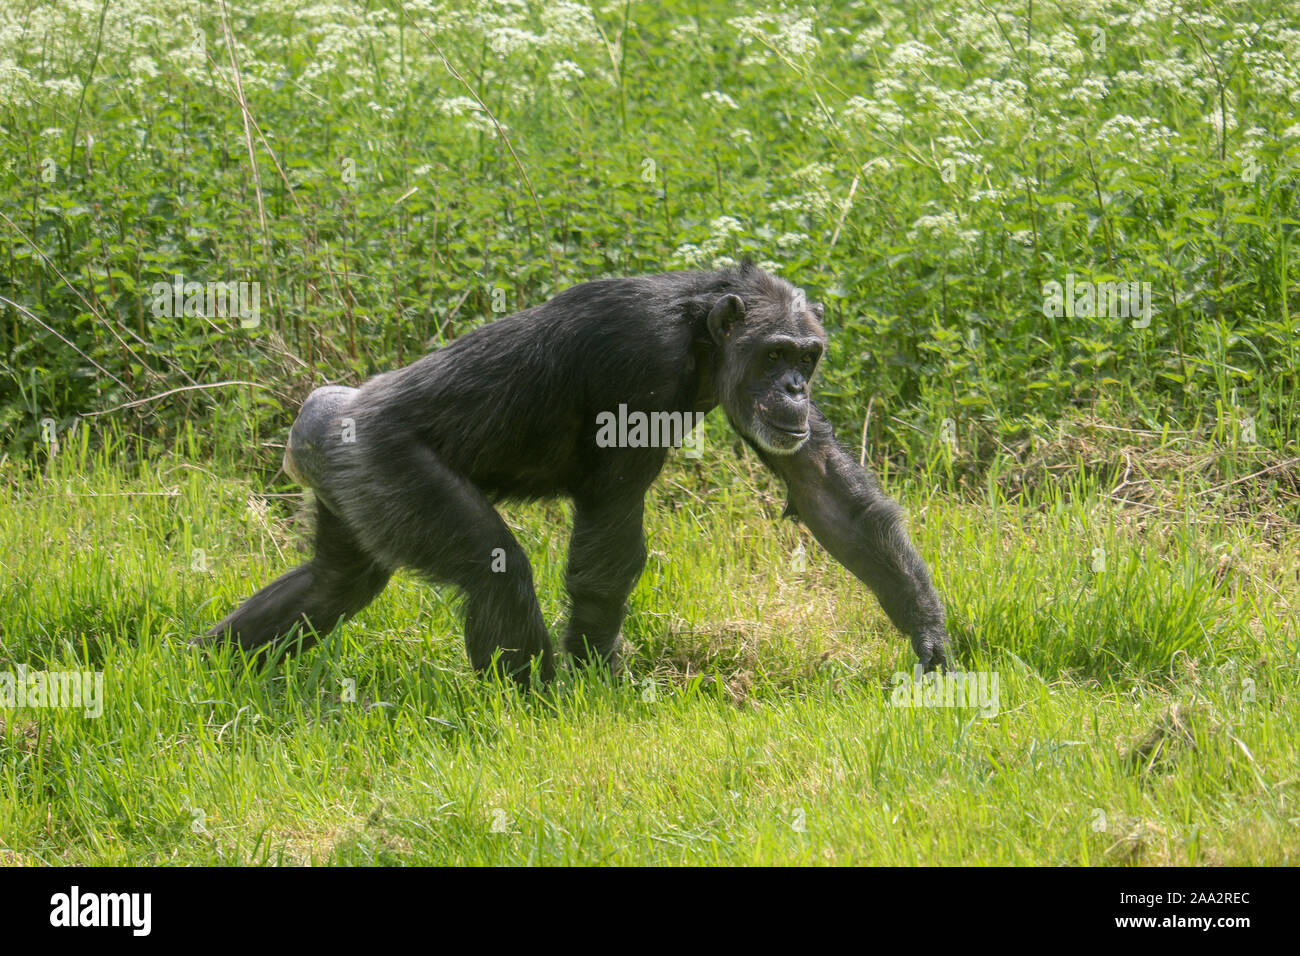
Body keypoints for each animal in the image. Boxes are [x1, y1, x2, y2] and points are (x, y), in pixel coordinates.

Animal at [205, 261, 956, 681]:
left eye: (807, 356)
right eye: (774, 355)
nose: (796, 388)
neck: (700, 338)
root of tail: (319, 415)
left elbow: (824, 488)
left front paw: (932, 643)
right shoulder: (638, 361)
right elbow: (610, 530)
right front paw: (600, 679)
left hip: (351, 485)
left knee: (334, 584)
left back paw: (210, 664)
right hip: (388, 466)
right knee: (495, 569)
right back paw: (535, 705)